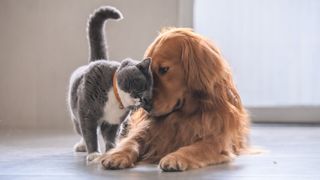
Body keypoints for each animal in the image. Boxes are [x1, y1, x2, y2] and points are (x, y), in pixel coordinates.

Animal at [67, 5, 153, 162]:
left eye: (150, 96)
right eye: (142, 85)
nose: (143, 99)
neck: (115, 98)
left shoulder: (113, 122)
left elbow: (110, 136)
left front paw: (112, 150)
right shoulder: (87, 113)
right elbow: (89, 133)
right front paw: (94, 153)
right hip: (75, 114)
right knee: (81, 130)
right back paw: (82, 146)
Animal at [100, 27, 250, 171]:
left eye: (164, 69)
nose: (145, 105)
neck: (183, 115)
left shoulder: (217, 140)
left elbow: (195, 148)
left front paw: (175, 157)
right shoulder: (145, 130)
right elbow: (130, 141)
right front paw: (116, 155)